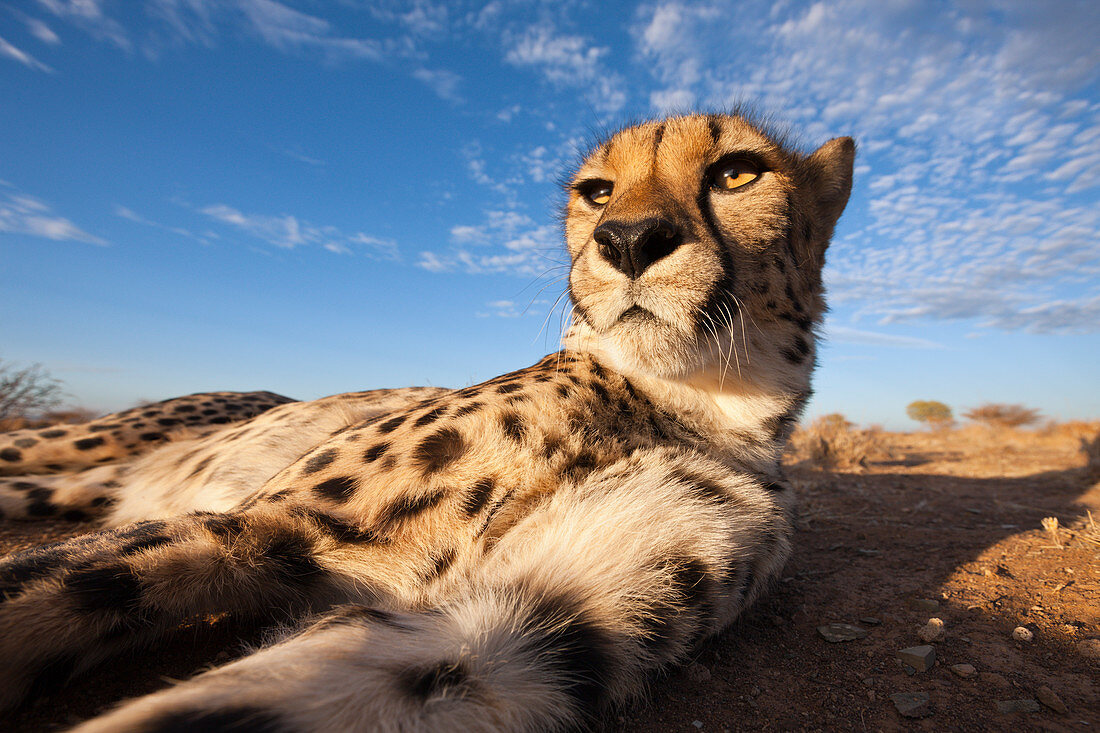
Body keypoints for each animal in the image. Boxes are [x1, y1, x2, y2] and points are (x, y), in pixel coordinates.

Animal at [0, 111, 849, 726]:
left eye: (737, 172)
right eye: (598, 191)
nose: (630, 240)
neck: (699, 403)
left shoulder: (519, 629)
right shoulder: (263, 522)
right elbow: (49, 584)